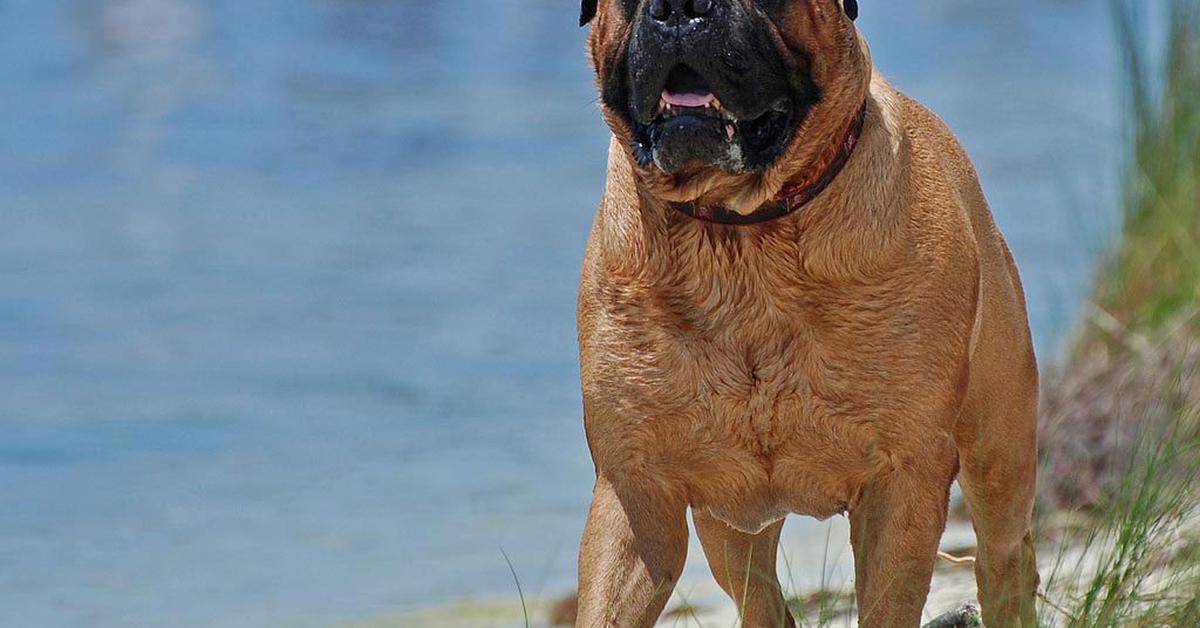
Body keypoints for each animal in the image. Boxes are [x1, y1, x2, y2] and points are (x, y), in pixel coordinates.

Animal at [573, 1, 1041, 628]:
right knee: (760, 596)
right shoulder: (634, 488)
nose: (682, 9)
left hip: (998, 456)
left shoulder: (903, 479)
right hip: (730, 523)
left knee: (1006, 558)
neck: (743, 231)